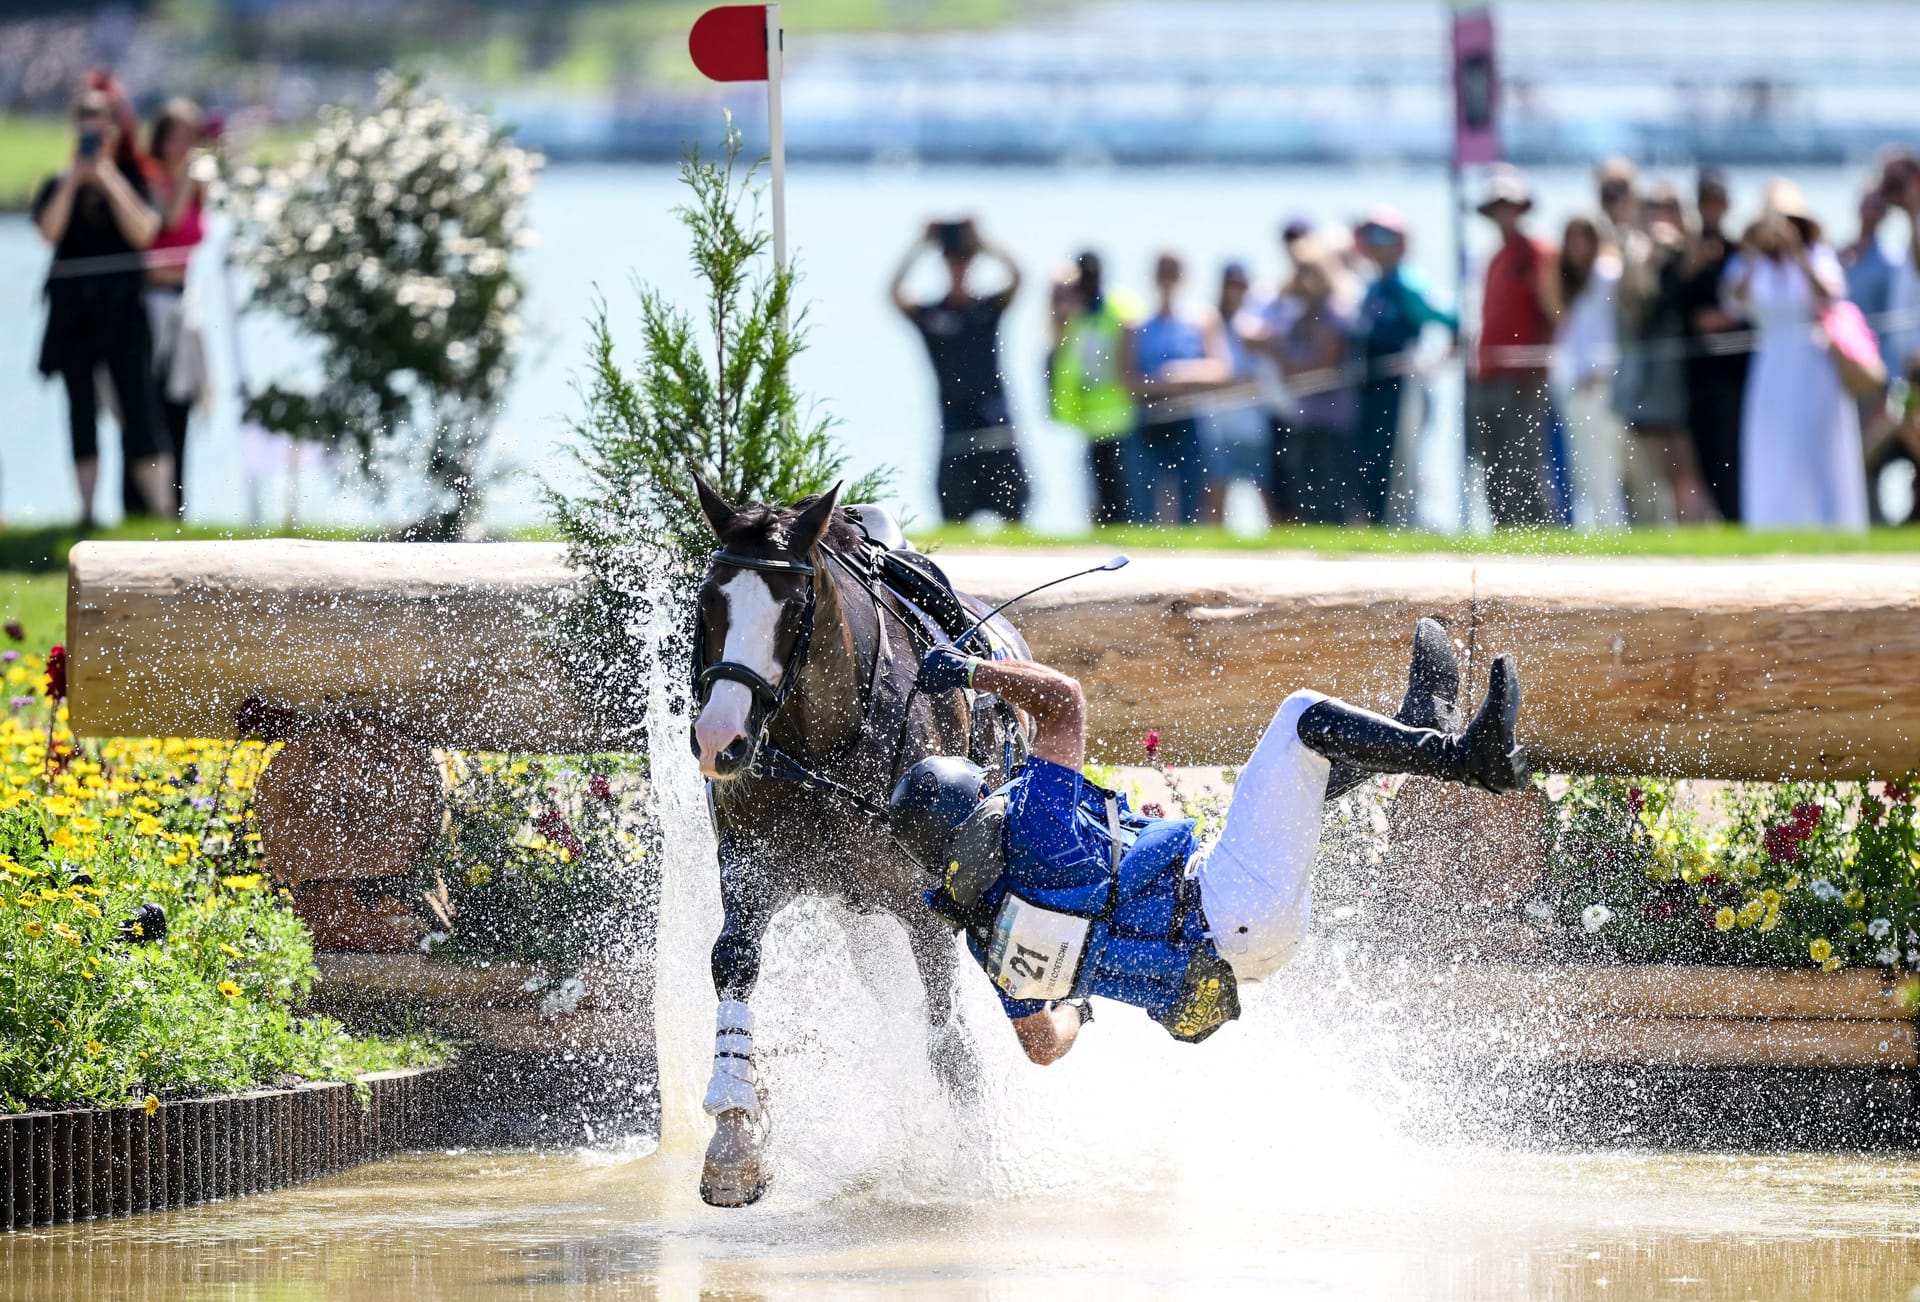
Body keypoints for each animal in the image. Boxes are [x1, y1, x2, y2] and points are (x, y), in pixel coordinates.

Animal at [683, 474, 1029, 1205]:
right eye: (708, 600)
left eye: (793, 609)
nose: (720, 737)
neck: (825, 743)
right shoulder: (750, 869)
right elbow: (735, 963)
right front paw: (733, 1143)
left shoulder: (925, 907)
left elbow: (947, 1039)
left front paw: (971, 1162)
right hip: (860, 915)